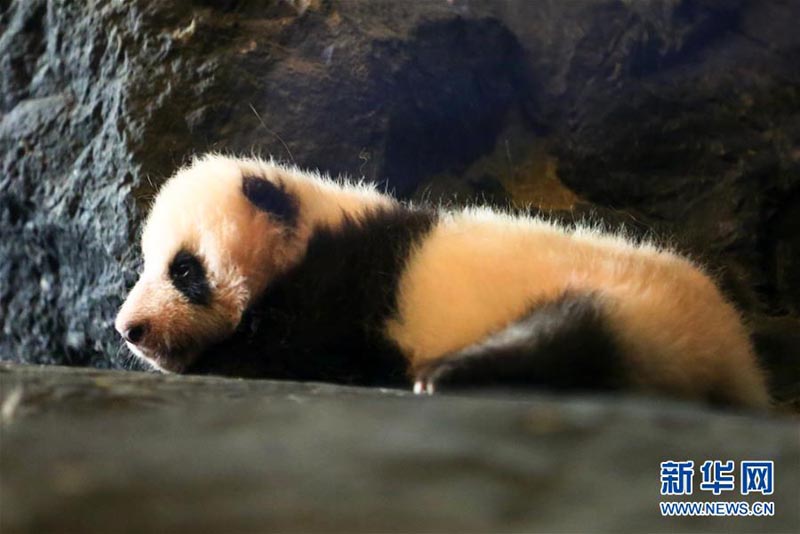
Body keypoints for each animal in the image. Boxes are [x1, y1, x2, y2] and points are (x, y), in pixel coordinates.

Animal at [115, 154, 770, 408]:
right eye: (148, 263)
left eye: (184, 270)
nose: (129, 329)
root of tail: (736, 358)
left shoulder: (346, 284)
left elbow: (293, 348)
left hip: (641, 307)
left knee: (572, 336)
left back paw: (453, 372)